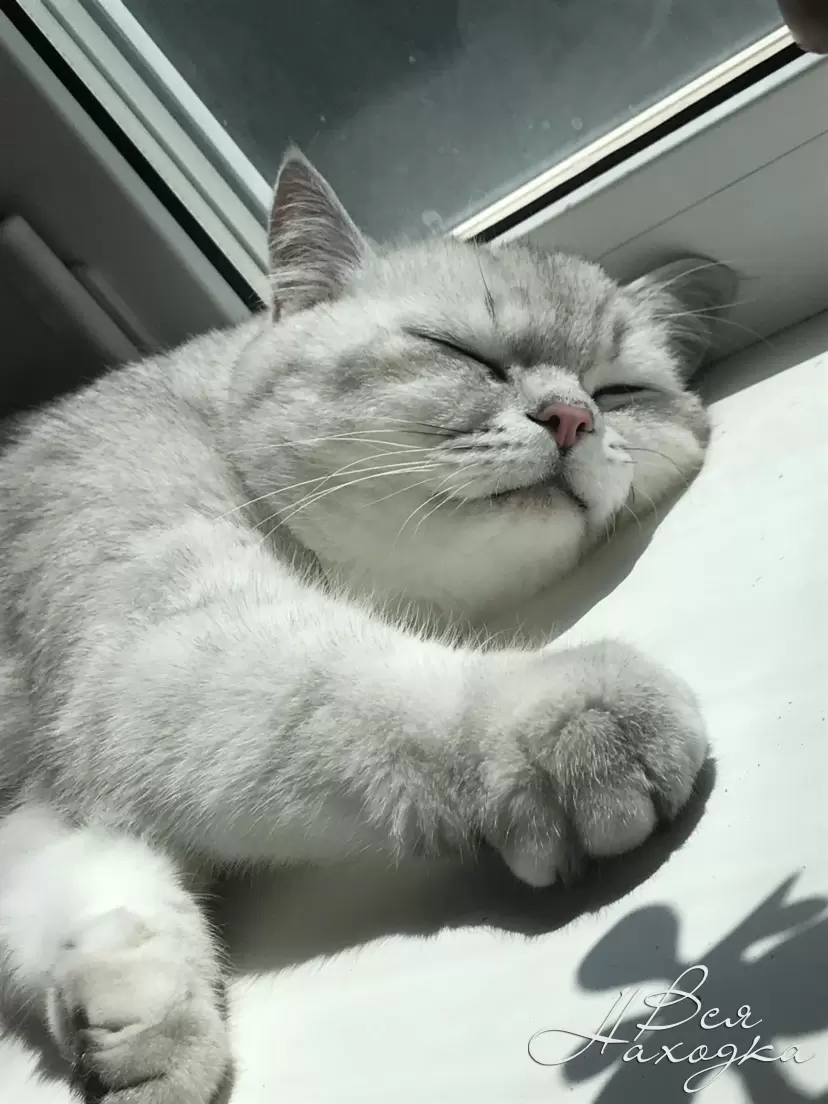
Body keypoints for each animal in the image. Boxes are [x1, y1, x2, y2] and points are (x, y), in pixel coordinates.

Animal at [0, 150, 734, 1103]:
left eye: (622, 392)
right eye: (463, 354)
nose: (574, 417)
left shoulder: (52, 815)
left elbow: (98, 903)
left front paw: (139, 1035)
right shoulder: (148, 645)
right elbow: (359, 685)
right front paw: (566, 713)